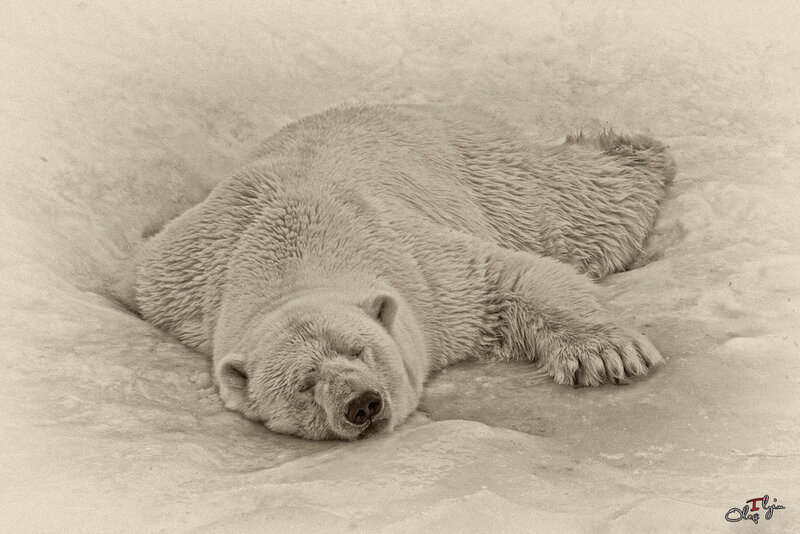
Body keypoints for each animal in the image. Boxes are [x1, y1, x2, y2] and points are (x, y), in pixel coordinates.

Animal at [134, 104, 675, 441]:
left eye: (361, 349)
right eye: (304, 384)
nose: (362, 403)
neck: (292, 245)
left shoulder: (423, 268)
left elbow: (507, 275)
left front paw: (608, 355)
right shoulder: (178, 284)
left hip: (491, 174)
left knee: (582, 202)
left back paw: (627, 146)